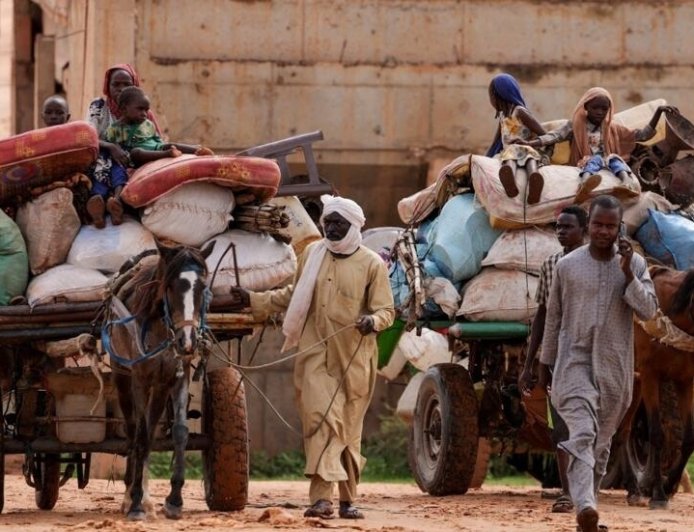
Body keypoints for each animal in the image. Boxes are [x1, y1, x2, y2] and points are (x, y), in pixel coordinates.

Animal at [106, 240, 213, 520]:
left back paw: (145, 497)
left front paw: (174, 500)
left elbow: (180, 432)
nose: (187, 341)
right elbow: (141, 437)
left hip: (160, 387)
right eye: (171, 285)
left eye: (202, 287)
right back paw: (130, 496)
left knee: (151, 428)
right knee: (134, 431)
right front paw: (134, 503)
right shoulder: (140, 380)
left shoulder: (176, 377)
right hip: (123, 378)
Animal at [624, 264, 694, 508]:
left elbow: (688, 438)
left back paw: (634, 489)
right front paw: (659, 495)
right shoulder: (650, 376)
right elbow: (656, 433)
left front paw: (668, 485)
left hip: (633, 385)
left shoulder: (685, 382)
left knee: (624, 430)